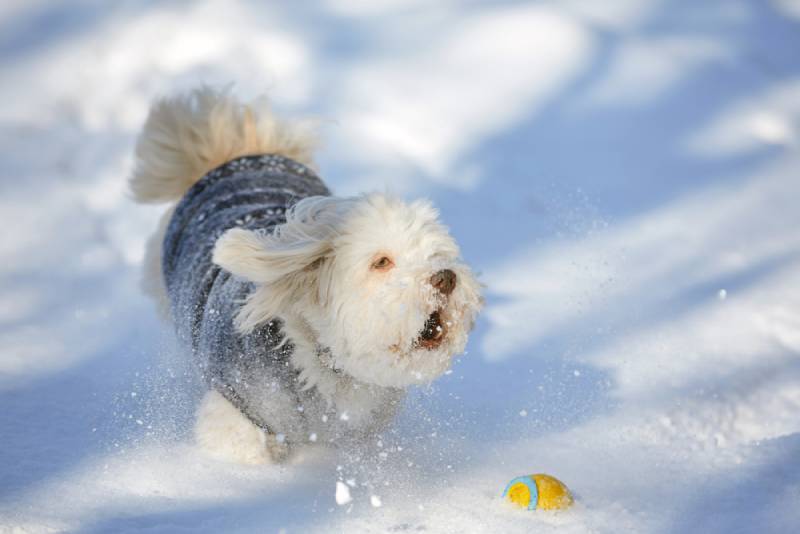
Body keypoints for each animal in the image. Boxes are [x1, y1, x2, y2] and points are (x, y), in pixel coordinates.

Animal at [130, 88, 482, 464]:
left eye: (438, 254)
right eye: (381, 262)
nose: (445, 278)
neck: (325, 361)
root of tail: (238, 154)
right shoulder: (236, 412)